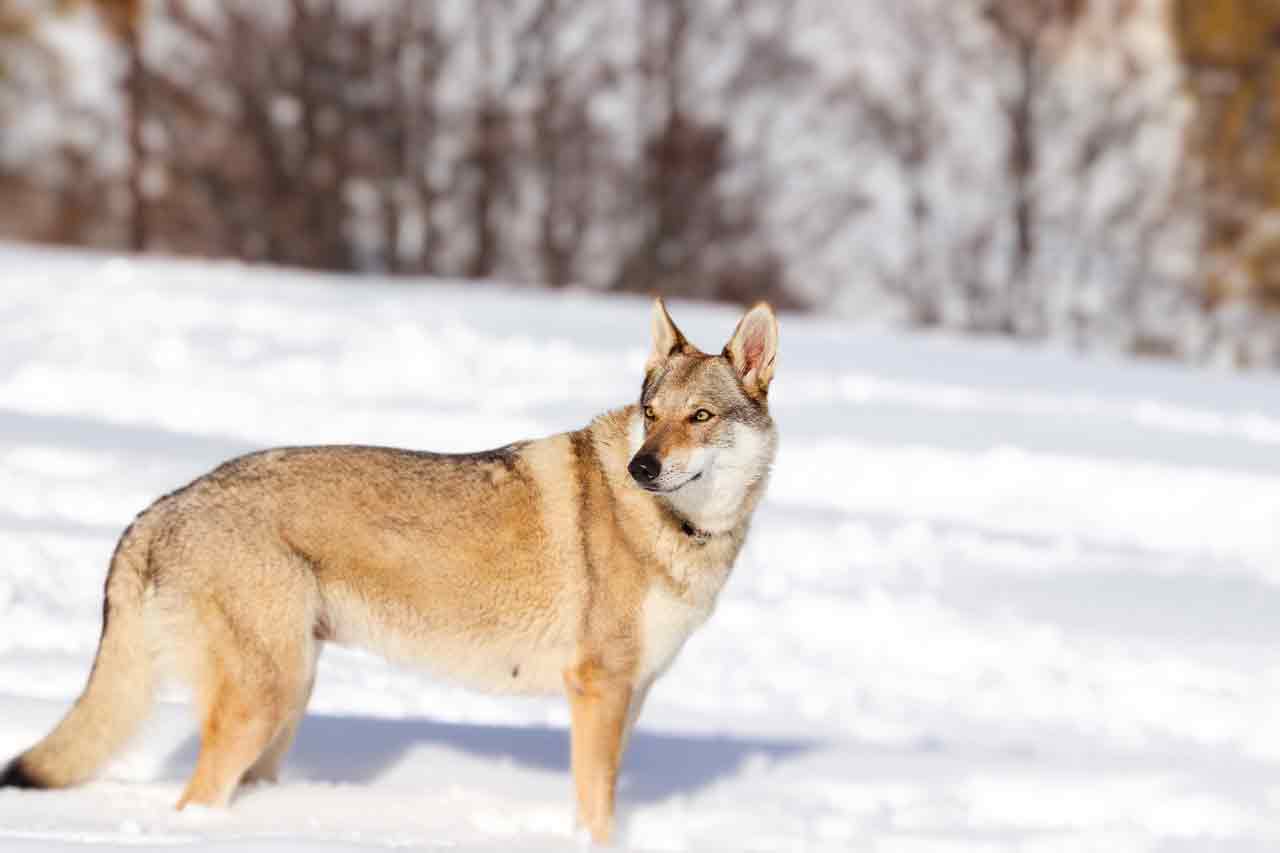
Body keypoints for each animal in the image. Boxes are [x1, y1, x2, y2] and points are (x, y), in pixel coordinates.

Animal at [0, 297, 779, 844]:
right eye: (650, 413)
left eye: (699, 416)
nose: (642, 467)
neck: (680, 528)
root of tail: (159, 507)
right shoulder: (597, 689)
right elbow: (597, 810)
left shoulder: (630, 692)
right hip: (265, 699)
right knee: (195, 798)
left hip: (290, 697)